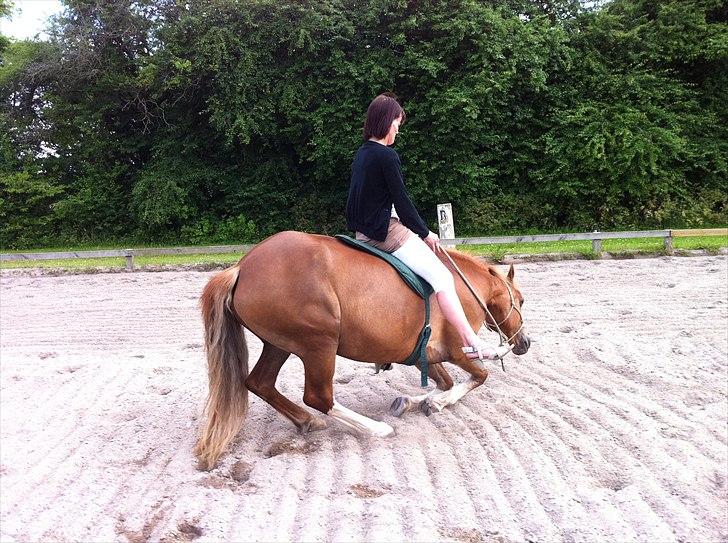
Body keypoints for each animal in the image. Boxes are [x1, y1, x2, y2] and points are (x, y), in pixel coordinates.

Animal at [196, 232, 532, 470]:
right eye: (521, 300)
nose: (524, 343)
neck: (462, 287)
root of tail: (242, 267)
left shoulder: (423, 354)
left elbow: (444, 382)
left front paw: (412, 402)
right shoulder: (457, 351)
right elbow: (478, 377)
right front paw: (437, 403)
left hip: (279, 345)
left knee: (260, 383)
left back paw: (307, 421)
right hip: (319, 344)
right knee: (318, 397)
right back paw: (376, 429)